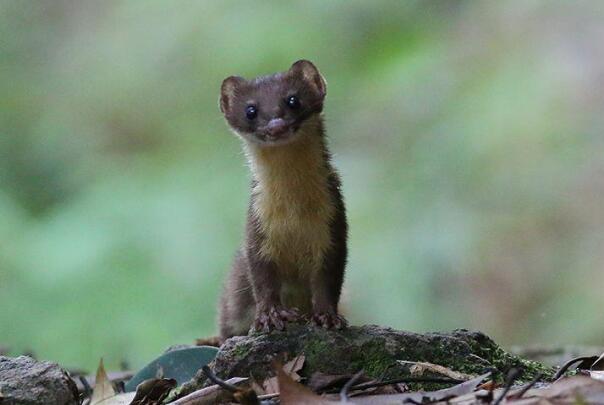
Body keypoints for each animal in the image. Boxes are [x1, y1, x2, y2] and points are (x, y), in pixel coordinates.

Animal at [219, 59, 346, 338]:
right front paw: (270, 316)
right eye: (251, 110)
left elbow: (328, 279)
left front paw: (327, 317)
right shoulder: (257, 229)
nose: (276, 125)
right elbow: (263, 279)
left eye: (293, 100)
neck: (293, 213)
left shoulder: (333, 224)